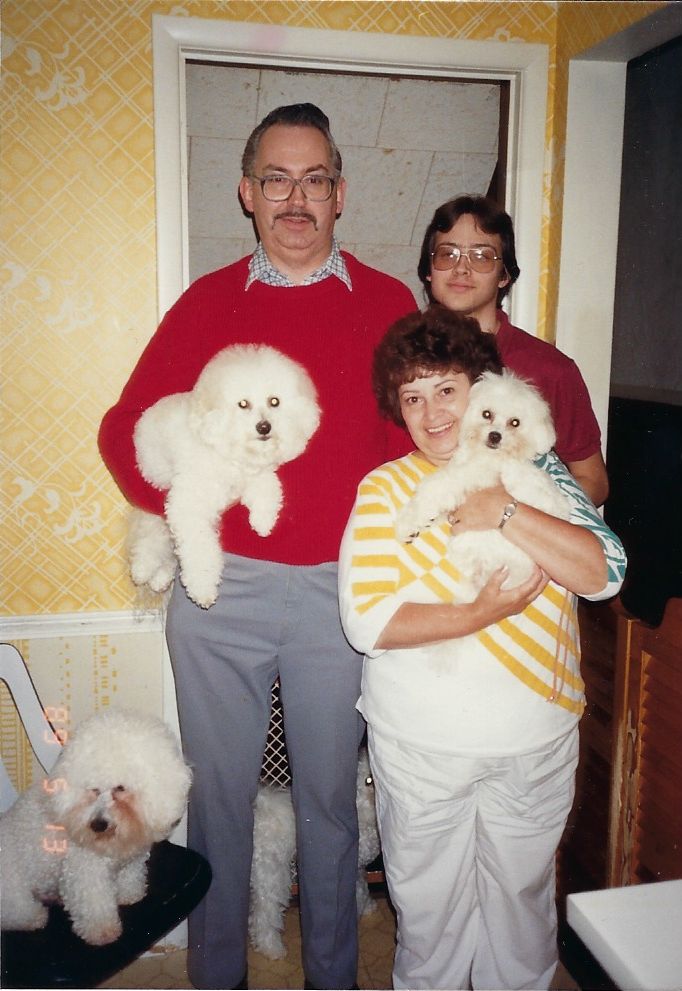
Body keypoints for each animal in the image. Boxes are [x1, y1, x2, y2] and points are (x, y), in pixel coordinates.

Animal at [0, 708, 191, 948]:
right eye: (94, 789)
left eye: (120, 788)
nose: (97, 825)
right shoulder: (85, 871)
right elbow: (94, 905)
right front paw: (102, 932)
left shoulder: (131, 861)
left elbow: (130, 878)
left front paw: (130, 895)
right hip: (14, 892)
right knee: (17, 914)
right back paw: (35, 917)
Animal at [126, 348, 320, 612]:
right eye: (243, 404)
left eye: (274, 401)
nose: (264, 427)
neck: (229, 453)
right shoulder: (188, 508)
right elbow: (199, 551)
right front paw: (203, 590)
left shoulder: (256, 474)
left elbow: (268, 489)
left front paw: (263, 522)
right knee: (151, 536)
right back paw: (144, 570)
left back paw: (160, 577)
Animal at [247, 752, 380, 960]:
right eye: (368, 781)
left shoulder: (357, 869)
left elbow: (363, 889)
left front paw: (367, 907)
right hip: (272, 875)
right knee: (264, 915)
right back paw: (272, 948)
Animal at [394, 368, 568, 592]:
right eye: (487, 414)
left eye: (515, 422)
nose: (495, 436)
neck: (483, 455)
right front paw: (416, 524)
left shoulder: (469, 477)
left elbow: (433, 489)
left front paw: (407, 523)